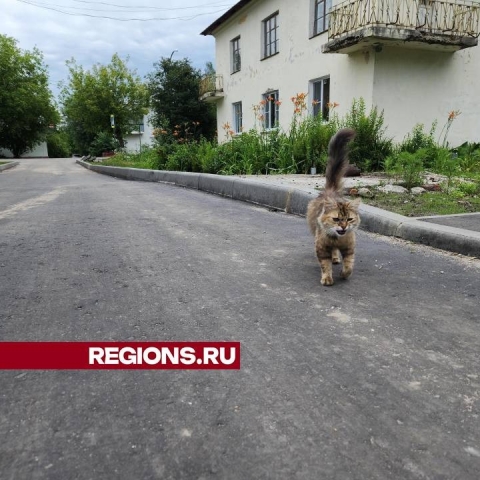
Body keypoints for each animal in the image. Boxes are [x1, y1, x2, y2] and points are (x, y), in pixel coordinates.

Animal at [308, 128, 360, 284]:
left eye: (349, 219)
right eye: (336, 219)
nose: (343, 227)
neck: (337, 239)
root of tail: (331, 190)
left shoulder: (349, 248)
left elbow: (349, 265)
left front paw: (344, 274)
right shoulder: (322, 247)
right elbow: (325, 265)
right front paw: (327, 278)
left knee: (336, 253)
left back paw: (336, 258)